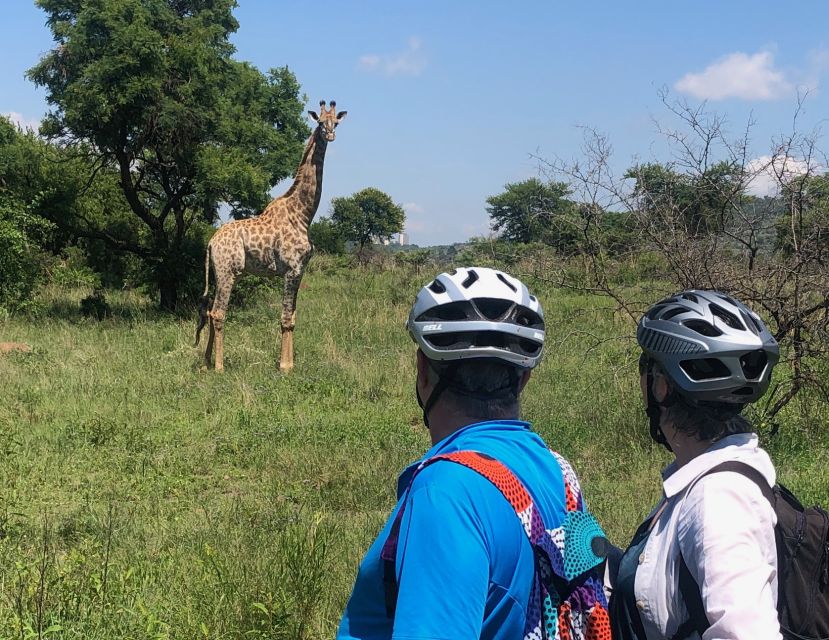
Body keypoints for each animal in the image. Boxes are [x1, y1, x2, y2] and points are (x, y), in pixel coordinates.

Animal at [195, 99, 346, 370]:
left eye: (336, 122)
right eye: (320, 121)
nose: (330, 134)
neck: (303, 214)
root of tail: (211, 243)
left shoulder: (301, 270)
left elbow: (293, 317)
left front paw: (290, 364)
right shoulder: (291, 269)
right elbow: (285, 317)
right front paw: (284, 367)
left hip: (218, 273)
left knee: (210, 311)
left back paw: (206, 362)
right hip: (227, 272)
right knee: (219, 312)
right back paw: (220, 367)